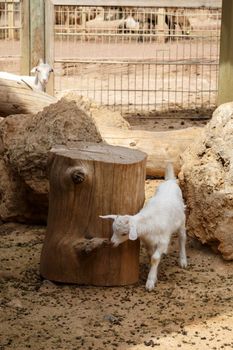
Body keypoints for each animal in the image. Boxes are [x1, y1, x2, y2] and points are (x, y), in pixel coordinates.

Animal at [100, 163, 187, 292]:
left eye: (124, 233)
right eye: (113, 230)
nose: (112, 242)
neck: (148, 223)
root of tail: (170, 181)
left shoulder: (163, 240)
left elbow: (155, 257)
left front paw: (150, 281)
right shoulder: (148, 241)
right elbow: (151, 255)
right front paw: (155, 275)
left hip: (182, 221)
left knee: (182, 238)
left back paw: (183, 260)